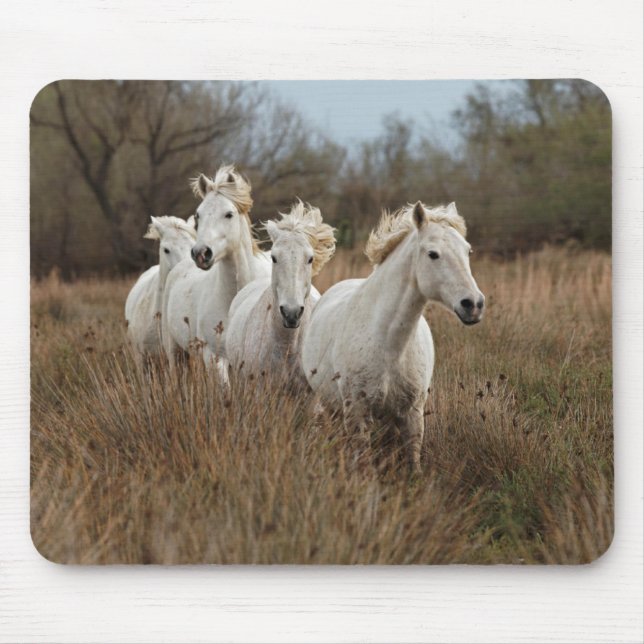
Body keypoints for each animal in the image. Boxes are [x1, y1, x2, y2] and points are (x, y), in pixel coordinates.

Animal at [300, 201, 484, 474]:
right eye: (433, 254)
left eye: (468, 251)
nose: (473, 304)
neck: (388, 345)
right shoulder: (357, 413)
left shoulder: (412, 414)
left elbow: (413, 462)